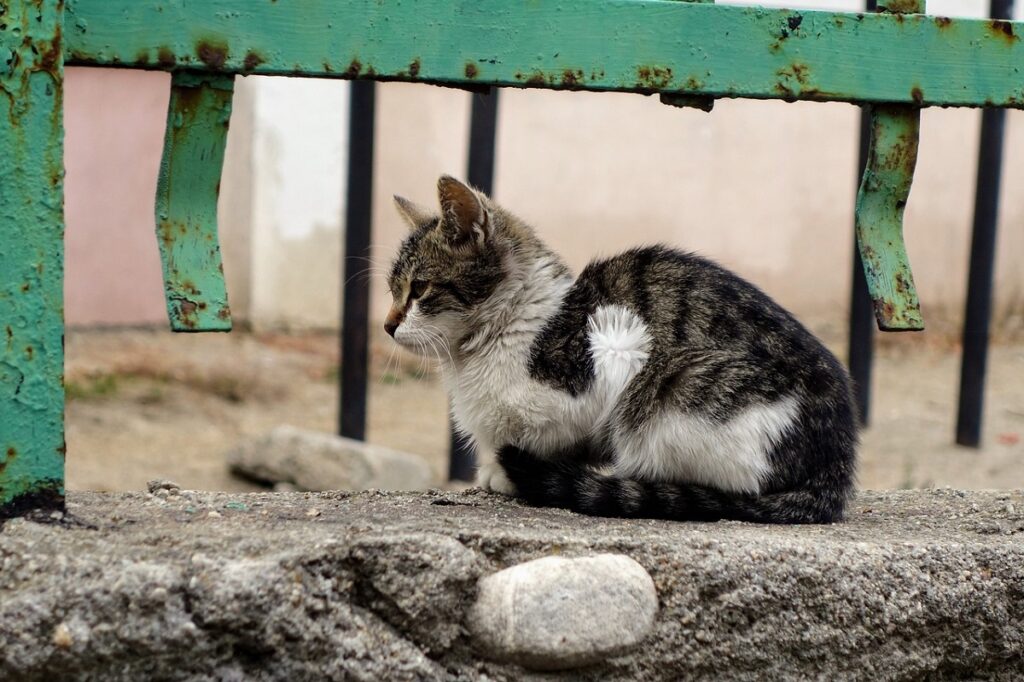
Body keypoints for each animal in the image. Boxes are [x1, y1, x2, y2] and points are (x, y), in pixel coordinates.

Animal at [385, 174, 856, 520]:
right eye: (393, 290)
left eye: (419, 289)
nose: (388, 326)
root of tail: (834, 467)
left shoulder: (613, 348)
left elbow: (550, 436)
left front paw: (507, 473)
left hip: (675, 393)